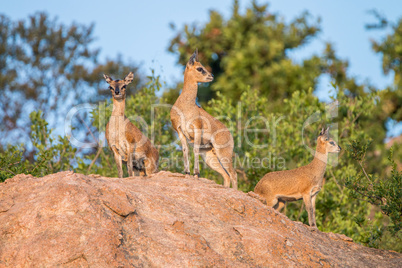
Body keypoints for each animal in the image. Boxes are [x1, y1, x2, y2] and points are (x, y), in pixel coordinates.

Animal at [170, 49, 239, 189]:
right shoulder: (180, 131)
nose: (211, 76)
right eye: (199, 68)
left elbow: (195, 149)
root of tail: (229, 133)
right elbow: (185, 150)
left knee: (233, 174)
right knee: (226, 176)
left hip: (223, 154)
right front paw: (187, 173)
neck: (186, 106)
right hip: (209, 156)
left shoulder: (196, 129)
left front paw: (196, 174)